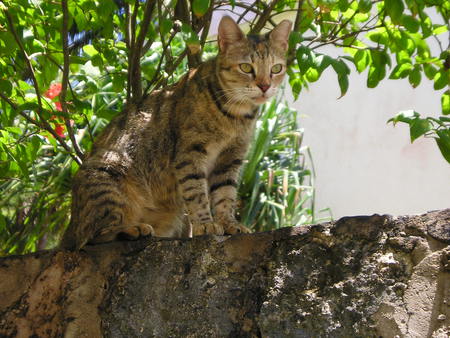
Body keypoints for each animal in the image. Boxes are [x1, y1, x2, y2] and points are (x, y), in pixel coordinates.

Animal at [59, 15, 292, 250]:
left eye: (276, 68)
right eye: (246, 67)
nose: (265, 86)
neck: (235, 115)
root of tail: (70, 226)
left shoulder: (230, 158)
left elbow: (225, 194)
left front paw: (229, 223)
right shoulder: (190, 153)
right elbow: (197, 192)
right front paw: (205, 223)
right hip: (106, 179)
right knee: (92, 237)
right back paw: (131, 229)